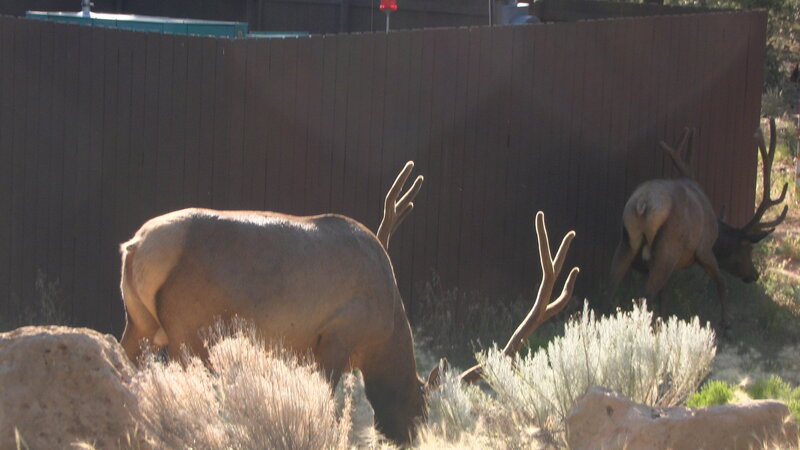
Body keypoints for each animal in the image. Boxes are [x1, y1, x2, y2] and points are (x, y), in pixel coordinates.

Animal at [118, 160, 579, 443]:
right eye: (420, 410)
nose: (411, 439)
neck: (386, 328)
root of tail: (137, 246)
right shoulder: (337, 335)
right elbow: (324, 400)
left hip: (140, 327)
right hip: (188, 330)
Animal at [609, 119, 788, 330]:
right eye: (748, 249)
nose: (754, 274)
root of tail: (643, 204)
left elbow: (665, 296)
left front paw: (663, 320)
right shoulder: (704, 250)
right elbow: (722, 283)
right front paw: (726, 324)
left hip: (627, 243)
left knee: (611, 287)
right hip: (668, 248)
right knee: (647, 295)